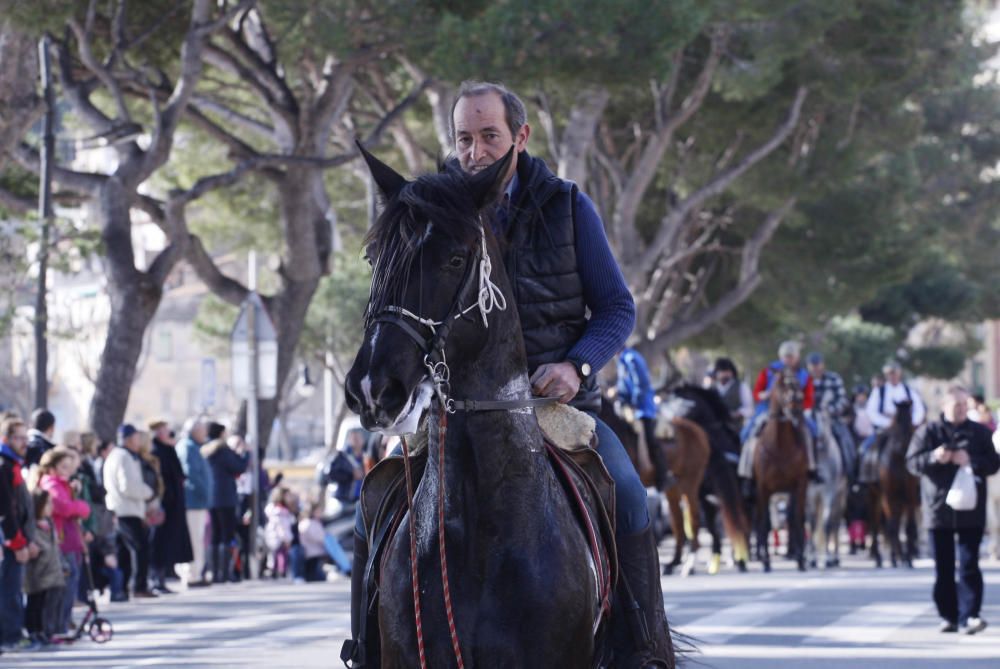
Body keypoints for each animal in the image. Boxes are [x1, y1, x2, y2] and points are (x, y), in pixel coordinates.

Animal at [752, 368, 808, 572]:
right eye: (781, 384)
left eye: (799, 385)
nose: (795, 407)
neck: (780, 445)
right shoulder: (763, 488)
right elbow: (765, 522)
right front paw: (766, 560)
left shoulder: (798, 486)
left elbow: (796, 518)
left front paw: (801, 558)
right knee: (761, 519)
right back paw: (761, 555)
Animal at [868, 400, 920, 568]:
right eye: (895, 420)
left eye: (909, 420)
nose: (900, 445)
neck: (898, 459)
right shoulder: (888, 495)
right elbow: (891, 526)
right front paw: (895, 558)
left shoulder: (910, 496)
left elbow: (909, 527)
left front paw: (908, 558)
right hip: (874, 497)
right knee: (876, 523)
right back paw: (879, 557)